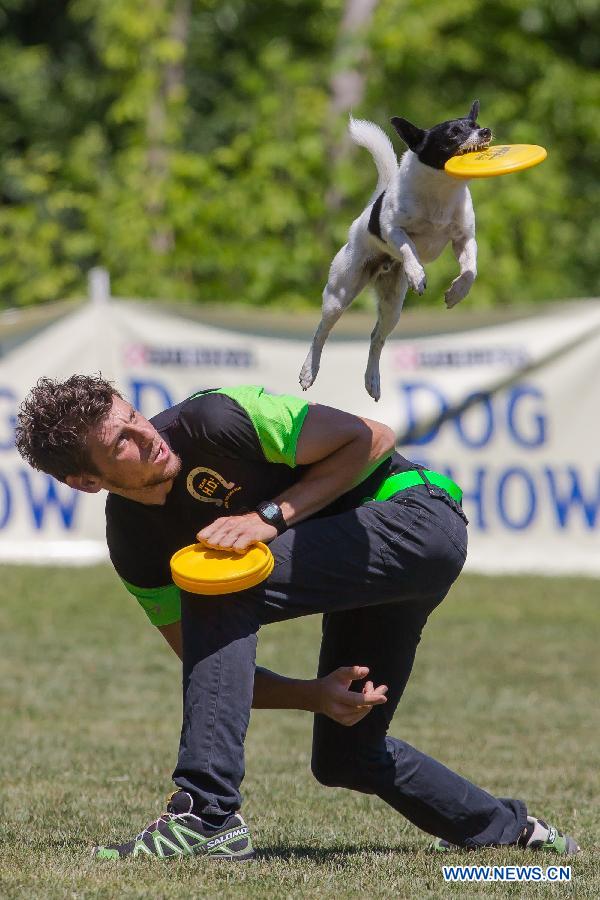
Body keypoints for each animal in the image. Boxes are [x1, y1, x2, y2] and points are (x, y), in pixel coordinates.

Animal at [300, 100, 492, 400]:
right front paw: (417, 274)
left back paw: (372, 380)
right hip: (339, 294)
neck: (442, 189)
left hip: (392, 308)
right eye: (453, 133)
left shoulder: (465, 239)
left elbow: (470, 270)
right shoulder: (393, 230)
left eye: (475, 125)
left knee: (376, 338)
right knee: (321, 332)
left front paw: (456, 293)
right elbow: (409, 247)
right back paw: (309, 371)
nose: (486, 131)